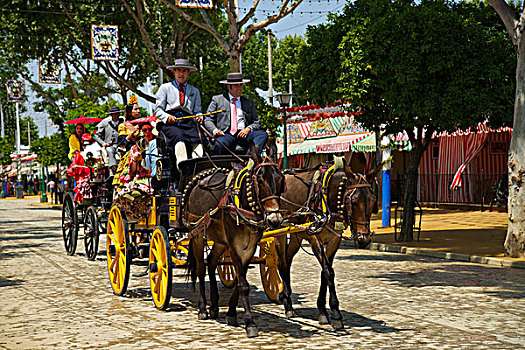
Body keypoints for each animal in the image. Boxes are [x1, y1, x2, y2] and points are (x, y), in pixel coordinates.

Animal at [183, 145, 284, 336]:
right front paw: (250, 322)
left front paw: (231, 313)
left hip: (219, 240)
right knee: (200, 269)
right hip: (197, 234)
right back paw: (203, 309)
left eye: (281, 179)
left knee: (211, 262)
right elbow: (243, 284)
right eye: (260, 180)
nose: (274, 219)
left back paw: (214, 307)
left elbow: (239, 280)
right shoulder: (234, 245)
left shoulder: (249, 246)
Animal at [274, 160, 376, 330]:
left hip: (296, 235)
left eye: (373, 200)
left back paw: (287, 301)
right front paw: (335, 314)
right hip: (279, 232)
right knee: (282, 262)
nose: (364, 239)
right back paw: (287, 304)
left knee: (287, 262)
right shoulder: (315, 238)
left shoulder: (334, 241)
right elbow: (329, 272)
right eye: (354, 202)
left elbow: (325, 272)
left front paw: (322, 310)